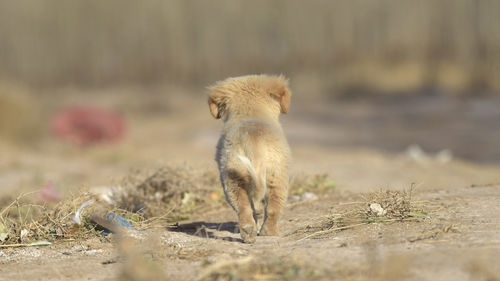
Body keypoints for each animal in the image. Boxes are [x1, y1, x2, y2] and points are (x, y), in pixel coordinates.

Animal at [208, 74, 292, 243]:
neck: (251, 111)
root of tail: (252, 139)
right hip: (275, 178)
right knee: (269, 209)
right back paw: (269, 233)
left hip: (238, 175)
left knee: (249, 209)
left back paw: (249, 232)